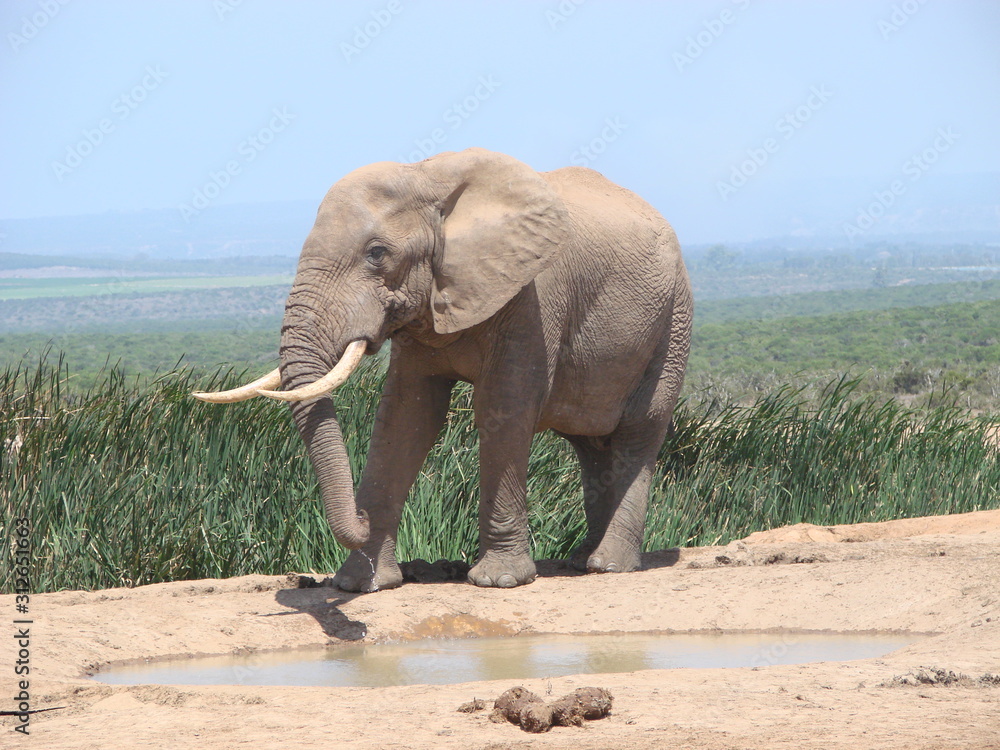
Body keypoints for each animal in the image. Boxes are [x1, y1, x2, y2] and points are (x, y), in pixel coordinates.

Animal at [193, 147, 692, 592]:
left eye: (377, 253)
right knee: (589, 444)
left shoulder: (533, 298)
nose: (359, 515)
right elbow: (406, 416)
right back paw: (579, 561)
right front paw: (359, 585)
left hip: (673, 321)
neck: (427, 176)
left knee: (639, 431)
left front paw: (499, 581)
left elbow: (505, 409)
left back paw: (609, 566)